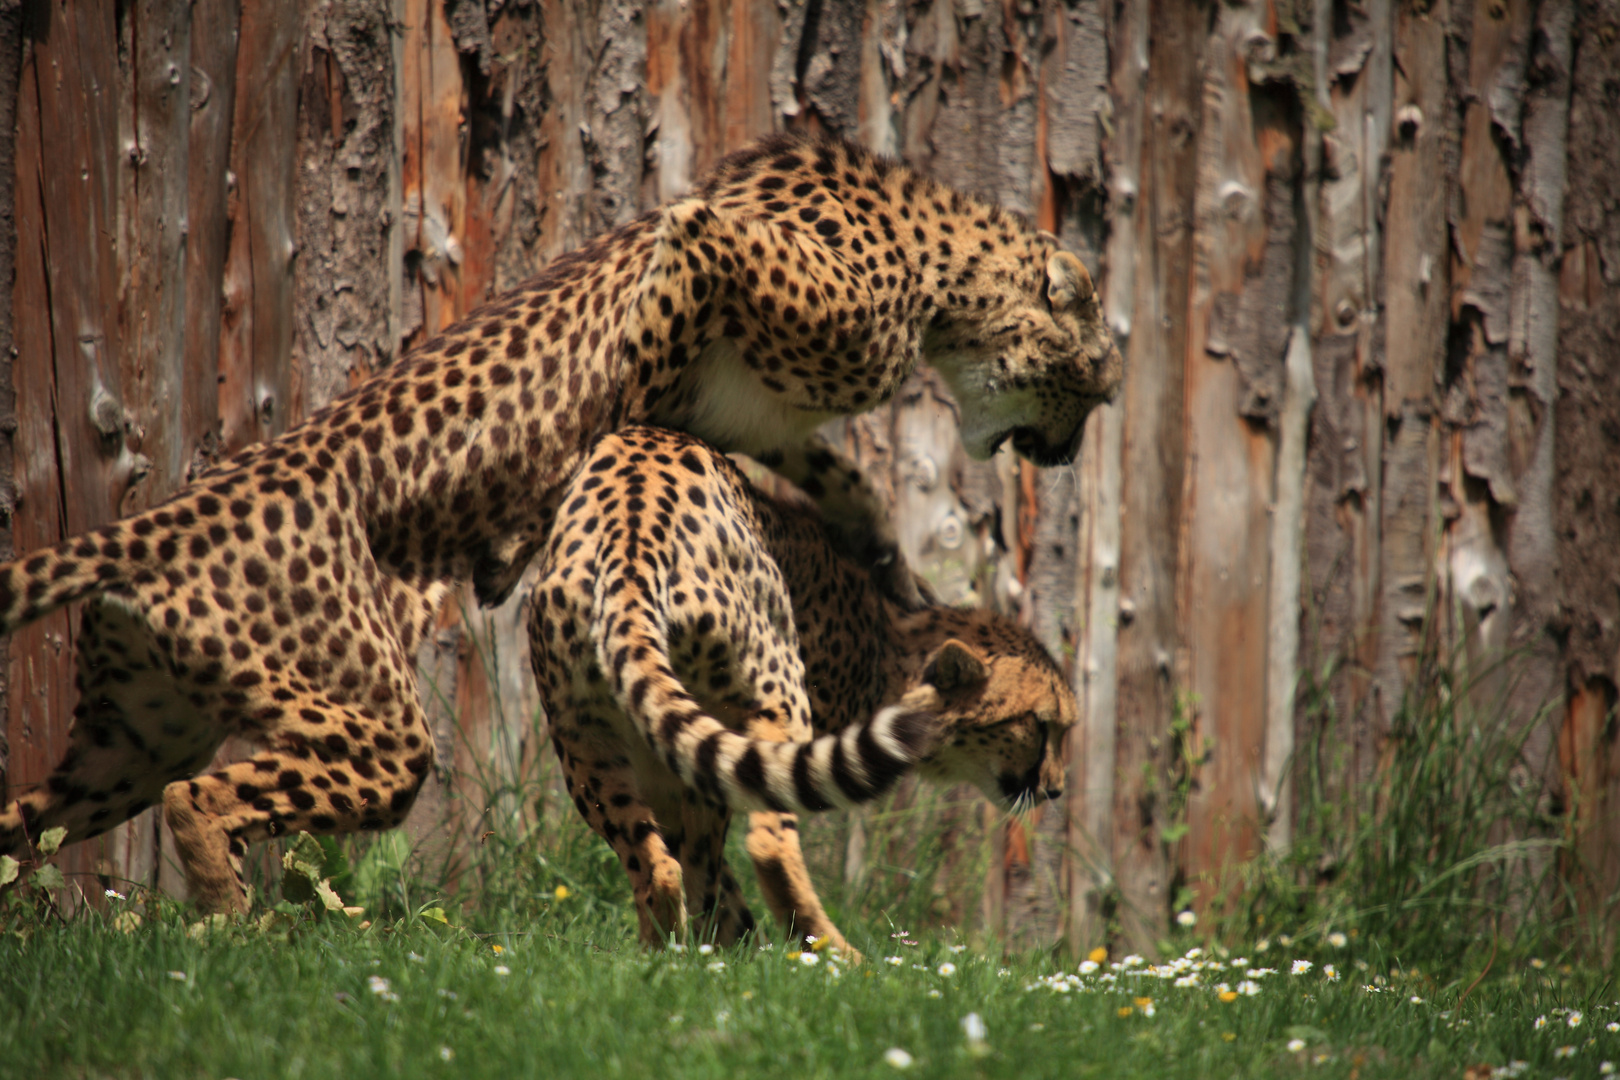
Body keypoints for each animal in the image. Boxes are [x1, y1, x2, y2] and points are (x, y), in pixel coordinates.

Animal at [531, 427, 1075, 952]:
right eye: (1039, 724)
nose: (1055, 789)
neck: (893, 643)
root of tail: (629, 533)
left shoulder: (661, 770)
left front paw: (731, 942)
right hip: (773, 697)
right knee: (758, 847)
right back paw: (833, 956)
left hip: (585, 743)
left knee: (657, 865)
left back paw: (663, 958)